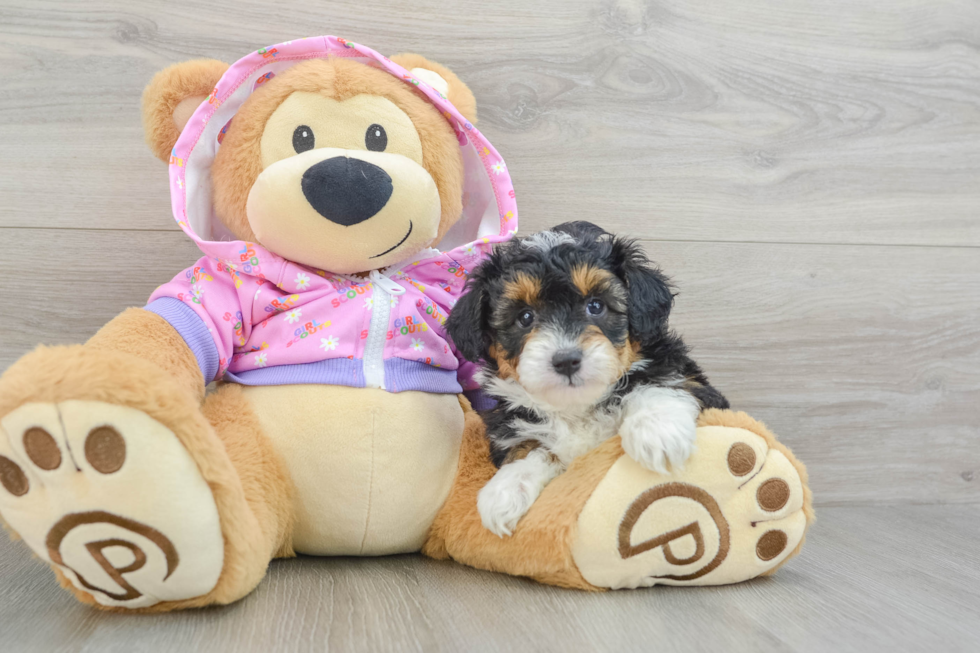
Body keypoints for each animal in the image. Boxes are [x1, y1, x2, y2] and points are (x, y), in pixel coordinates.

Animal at [444, 219, 728, 536]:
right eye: (525, 317)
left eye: (596, 305)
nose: (566, 360)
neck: (576, 407)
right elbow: (529, 446)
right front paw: (506, 490)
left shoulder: (695, 384)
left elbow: (658, 383)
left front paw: (657, 433)